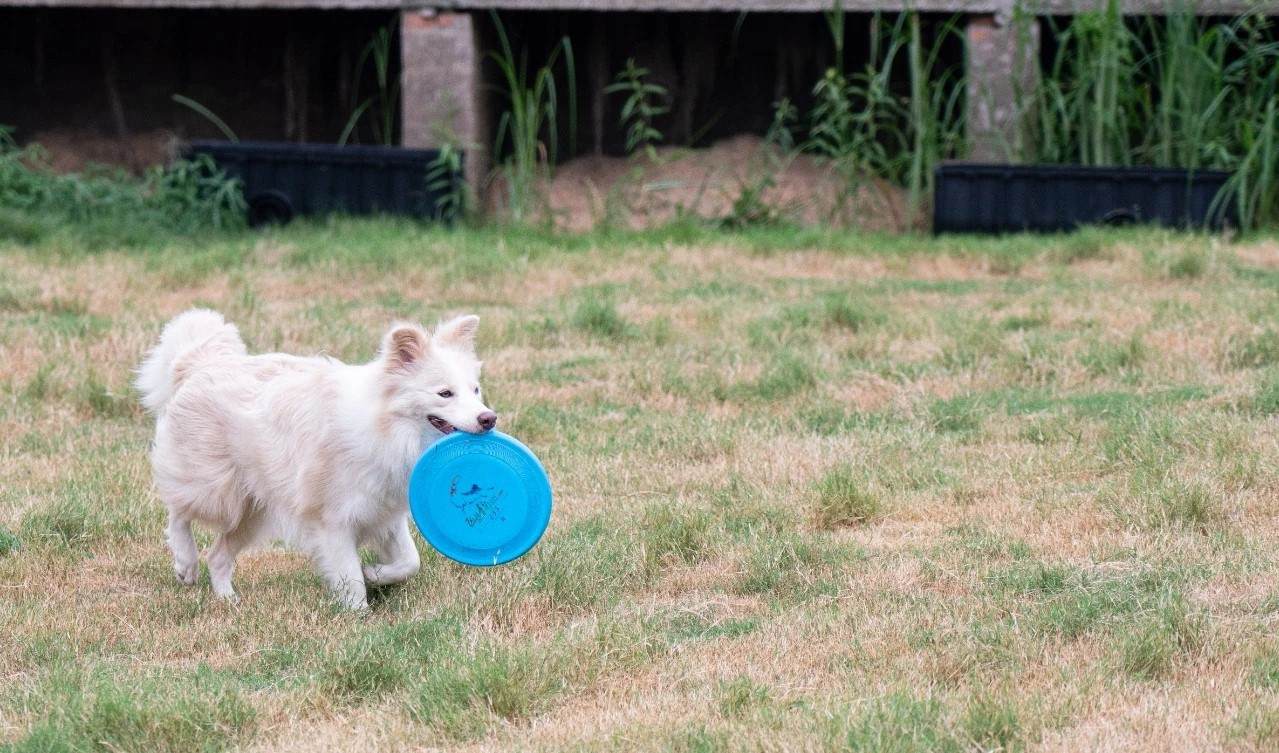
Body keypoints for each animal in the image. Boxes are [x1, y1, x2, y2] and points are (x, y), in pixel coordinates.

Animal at [136, 308, 493, 608]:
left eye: (475, 390)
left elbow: (409, 563)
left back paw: (228, 601)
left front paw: (375, 574)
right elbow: (351, 578)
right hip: (216, 492)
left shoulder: (384, 515)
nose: (489, 419)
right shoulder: (333, 522)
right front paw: (360, 617)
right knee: (178, 512)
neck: (387, 428)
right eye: (444, 393)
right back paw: (185, 563)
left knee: (218, 554)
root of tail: (199, 363)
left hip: (254, 512)